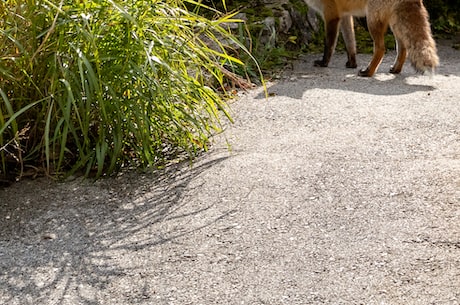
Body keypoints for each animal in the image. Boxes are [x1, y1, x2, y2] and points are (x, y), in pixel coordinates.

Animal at [304, 0, 440, 76]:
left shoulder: (331, 15)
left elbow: (329, 45)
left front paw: (324, 63)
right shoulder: (345, 15)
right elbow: (350, 42)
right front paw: (352, 63)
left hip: (372, 20)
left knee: (381, 49)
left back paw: (368, 72)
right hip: (394, 22)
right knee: (403, 49)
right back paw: (396, 69)